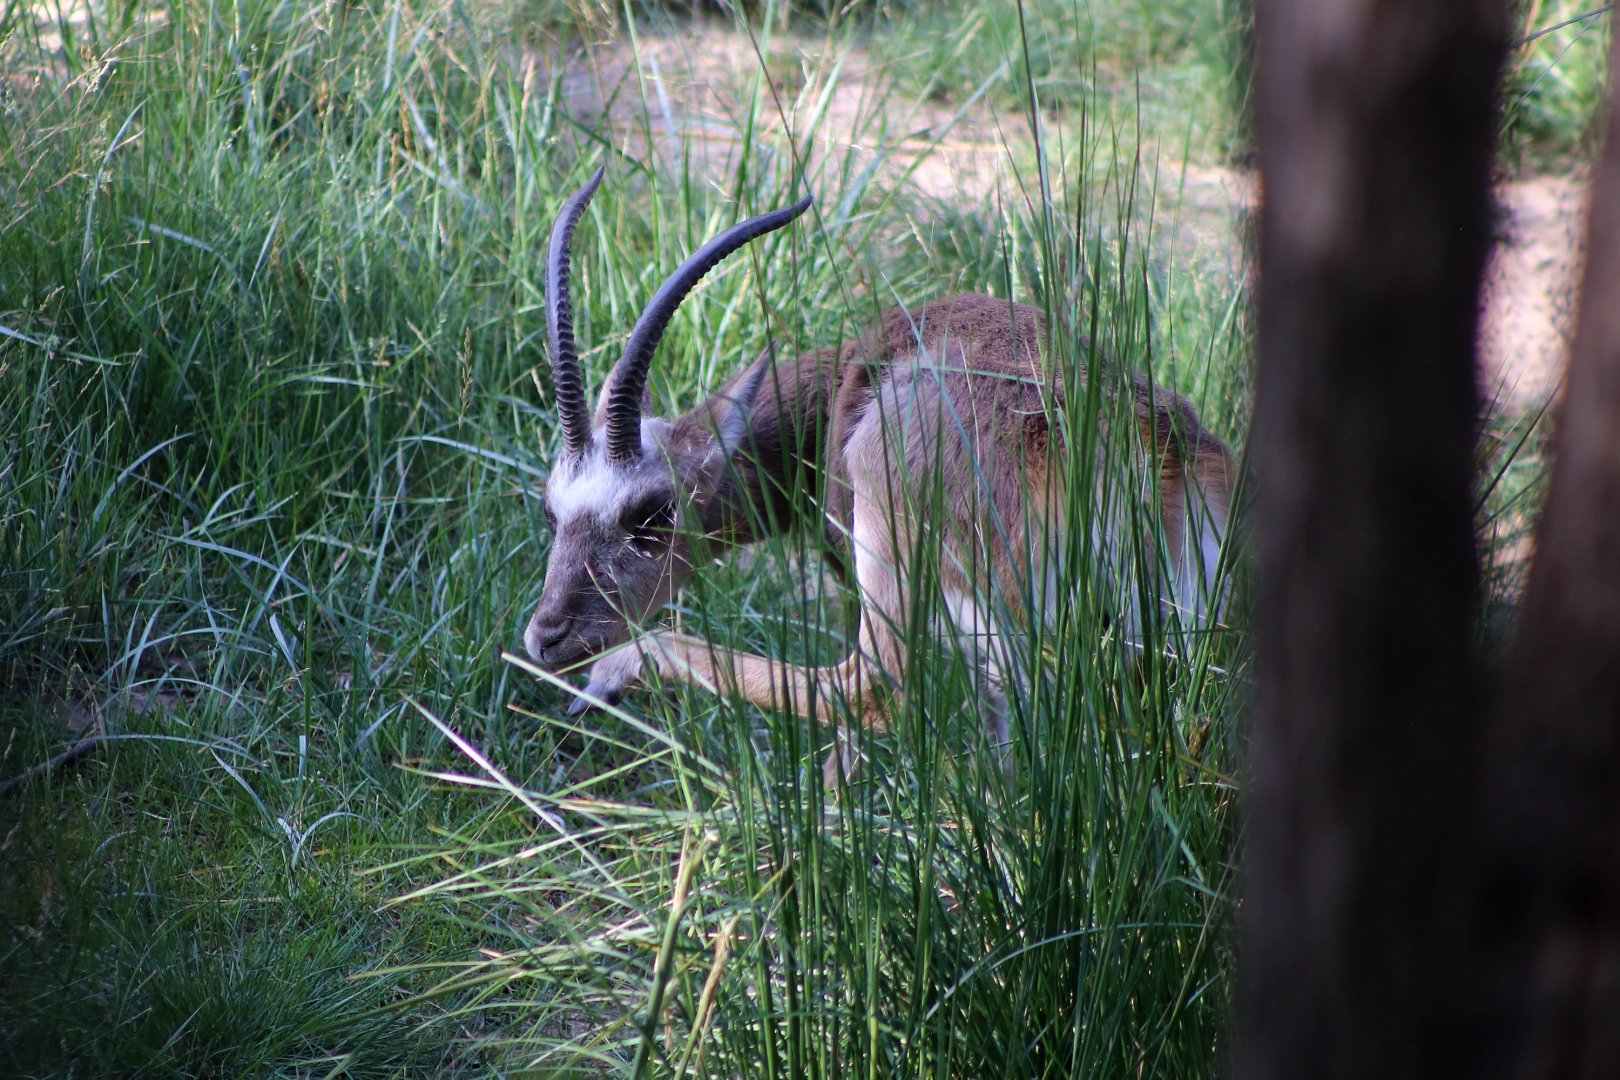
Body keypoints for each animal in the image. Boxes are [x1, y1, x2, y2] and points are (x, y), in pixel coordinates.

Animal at [523, 169, 1233, 781]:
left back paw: (620, 673)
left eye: (653, 511)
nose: (547, 637)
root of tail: (1150, 447)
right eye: (552, 509)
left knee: (865, 693)